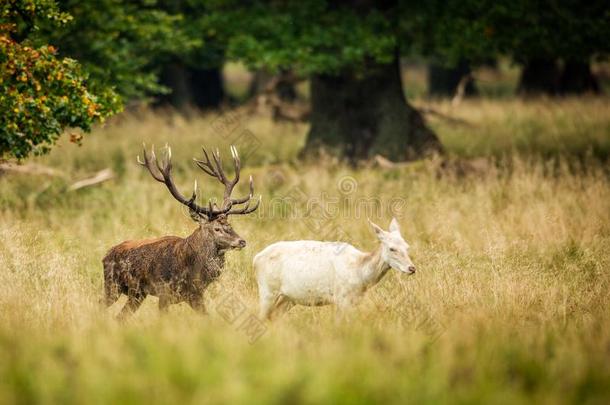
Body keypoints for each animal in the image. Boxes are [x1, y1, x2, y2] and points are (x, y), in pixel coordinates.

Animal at [251, 218, 414, 318]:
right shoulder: (341, 298)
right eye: (392, 248)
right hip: (267, 290)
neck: (360, 273)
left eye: (407, 246)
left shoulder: (355, 301)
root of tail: (255, 259)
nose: (412, 268)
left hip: (287, 298)